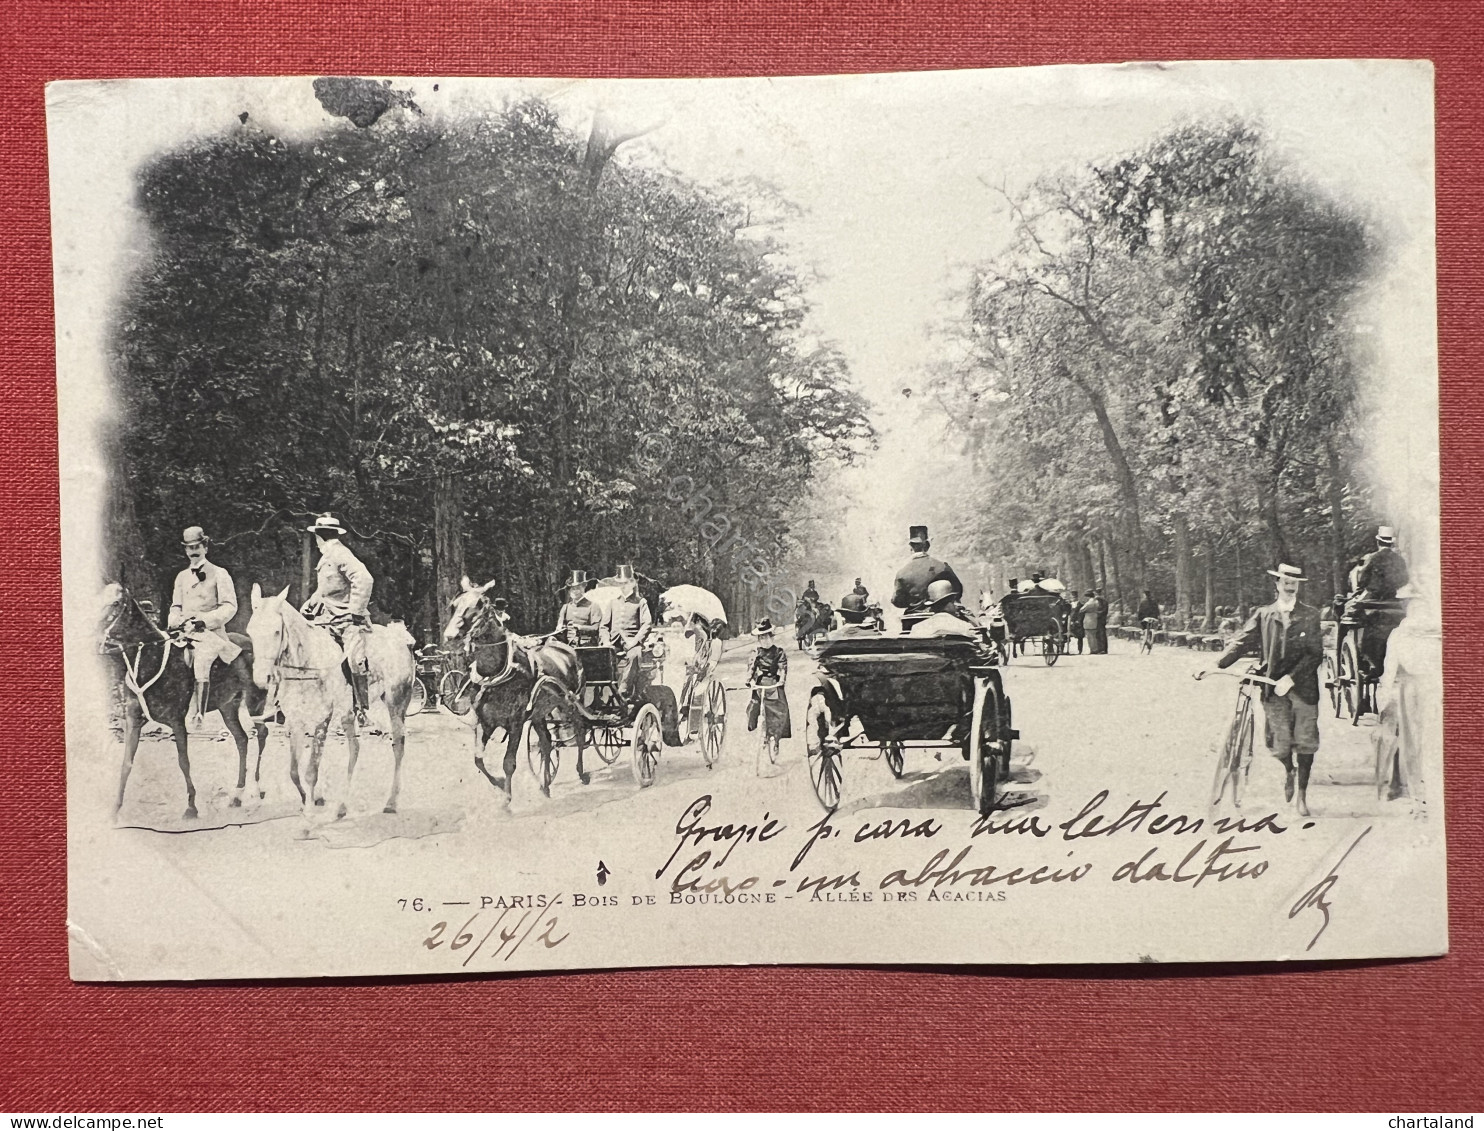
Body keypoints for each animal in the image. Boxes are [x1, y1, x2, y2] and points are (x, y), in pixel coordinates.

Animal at [100, 584, 270, 813]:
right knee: (242, 740)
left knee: (261, 734)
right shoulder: (133, 720)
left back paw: (257, 789)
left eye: (116, 603)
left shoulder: (177, 722)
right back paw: (237, 795)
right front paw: (115, 810)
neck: (149, 661)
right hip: (228, 707)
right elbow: (126, 763)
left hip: (255, 702)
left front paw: (191, 807)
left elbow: (183, 761)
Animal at [244, 584, 418, 813]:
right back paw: (342, 805)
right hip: (349, 712)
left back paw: (391, 802)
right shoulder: (296, 721)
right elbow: (293, 771)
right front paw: (309, 799)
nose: (261, 678)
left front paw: (310, 807)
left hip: (395, 703)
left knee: (398, 745)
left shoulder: (322, 718)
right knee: (355, 748)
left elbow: (311, 770)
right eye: (250, 632)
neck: (307, 662)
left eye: (276, 632)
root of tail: (401, 639)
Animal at [442, 575, 587, 795]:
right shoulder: (485, 722)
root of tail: (566, 648)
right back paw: (545, 786)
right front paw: (499, 783)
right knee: (546, 742)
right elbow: (478, 760)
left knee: (579, 731)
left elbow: (508, 763)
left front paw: (506, 799)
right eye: (454, 605)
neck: (494, 676)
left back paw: (581, 772)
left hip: (569, 703)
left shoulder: (516, 723)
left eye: (481, 605)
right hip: (539, 712)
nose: (451, 637)